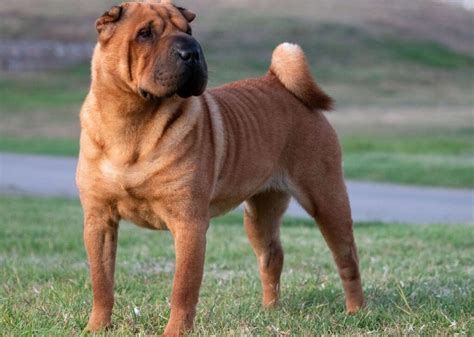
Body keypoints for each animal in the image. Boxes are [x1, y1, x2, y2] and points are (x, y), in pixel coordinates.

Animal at [76, 1, 364, 334]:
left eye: (187, 30)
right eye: (145, 34)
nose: (191, 51)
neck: (132, 123)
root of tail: (278, 82)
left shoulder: (189, 223)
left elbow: (183, 288)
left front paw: (176, 331)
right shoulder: (99, 219)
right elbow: (101, 281)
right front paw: (96, 327)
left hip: (326, 200)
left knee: (347, 259)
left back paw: (357, 311)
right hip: (259, 214)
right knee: (272, 256)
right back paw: (270, 311)